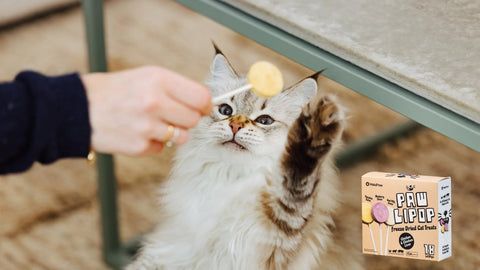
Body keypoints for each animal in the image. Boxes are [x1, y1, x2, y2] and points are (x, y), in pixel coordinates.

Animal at [125, 45, 362, 268]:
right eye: (225, 110)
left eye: (265, 120)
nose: (235, 126)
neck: (230, 178)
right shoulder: (165, 251)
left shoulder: (279, 241)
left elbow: (296, 181)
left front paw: (316, 132)